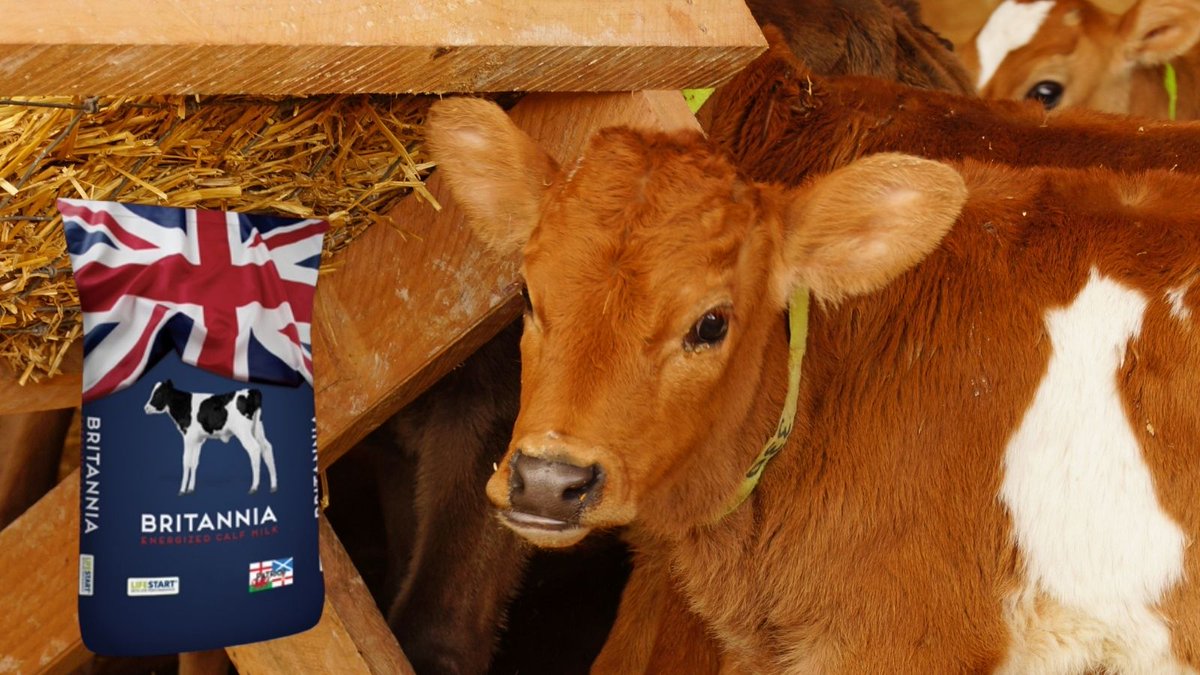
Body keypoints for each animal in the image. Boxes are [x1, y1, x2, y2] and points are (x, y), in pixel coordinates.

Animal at [144, 379, 275, 495]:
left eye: (159, 393)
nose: (146, 408)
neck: (184, 405)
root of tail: (252, 390)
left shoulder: (188, 437)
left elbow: (186, 462)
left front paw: (181, 490)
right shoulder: (198, 440)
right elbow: (194, 463)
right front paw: (190, 488)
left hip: (243, 431)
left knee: (254, 449)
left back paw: (254, 487)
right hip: (257, 428)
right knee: (266, 448)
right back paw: (274, 486)